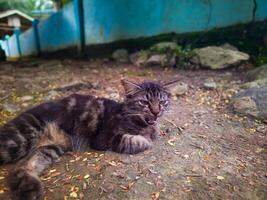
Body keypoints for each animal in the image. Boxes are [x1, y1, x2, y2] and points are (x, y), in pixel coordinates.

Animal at [0, 79, 175, 200]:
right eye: (144, 102)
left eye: (162, 102)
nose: (156, 112)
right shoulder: (104, 138)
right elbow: (134, 141)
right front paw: (147, 140)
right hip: (20, 138)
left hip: (52, 148)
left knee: (21, 167)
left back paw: (28, 189)